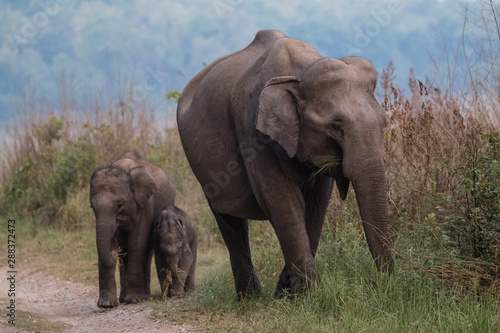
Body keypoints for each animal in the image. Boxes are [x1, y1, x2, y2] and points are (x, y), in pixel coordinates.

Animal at [90, 150, 176, 306]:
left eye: (119, 204)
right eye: (92, 207)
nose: (113, 256)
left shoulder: (145, 204)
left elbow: (137, 242)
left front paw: (135, 300)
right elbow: (111, 242)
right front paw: (106, 305)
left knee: (145, 251)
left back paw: (143, 296)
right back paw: (124, 298)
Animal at [178, 29, 392, 296]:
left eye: (383, 122)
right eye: (335, 126)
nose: (380, 284)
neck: (301, 72)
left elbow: (316, 205)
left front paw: (288, 294)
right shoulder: (253, 132)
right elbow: (282, 201)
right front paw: (308, 296)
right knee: (228, 219)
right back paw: (250, 298)